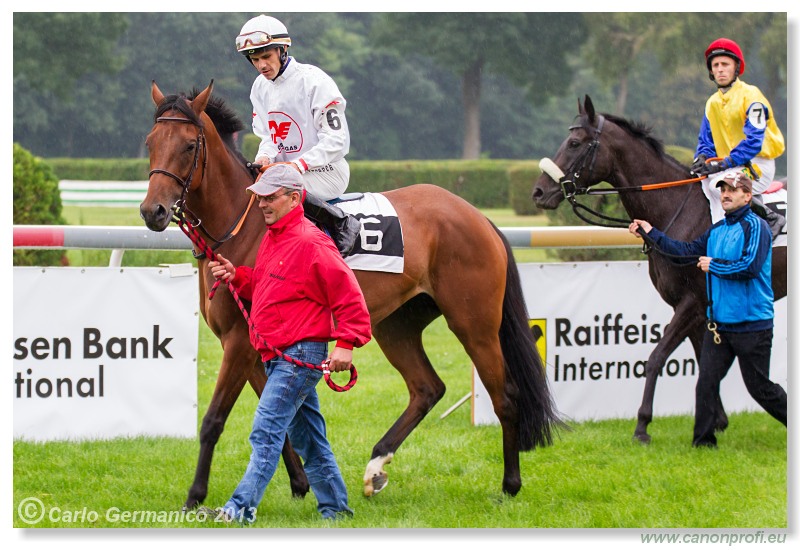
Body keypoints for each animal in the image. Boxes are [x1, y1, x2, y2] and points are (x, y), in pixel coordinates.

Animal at [139, 81, 564, 508]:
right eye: (150, 142)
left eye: (189, 145)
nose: (152, 211)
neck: (241, 229)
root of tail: (479, 217)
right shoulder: (258, 345)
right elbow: (279, 418)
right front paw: (300, 484)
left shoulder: (240, 341)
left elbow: (214, 419)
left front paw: (195, 496)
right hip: (397, 325)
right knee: (427, 388)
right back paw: (376, 466)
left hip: (474, 324)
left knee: (505, 395)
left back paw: (509, 484)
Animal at [532, 97, 788, 446]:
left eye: (574, 142)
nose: (539, 192)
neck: (678, 210)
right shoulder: (692, 306)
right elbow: (703, 361)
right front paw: (716, 420)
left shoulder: (693, 302)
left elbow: (656, 358)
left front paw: (642, 425)